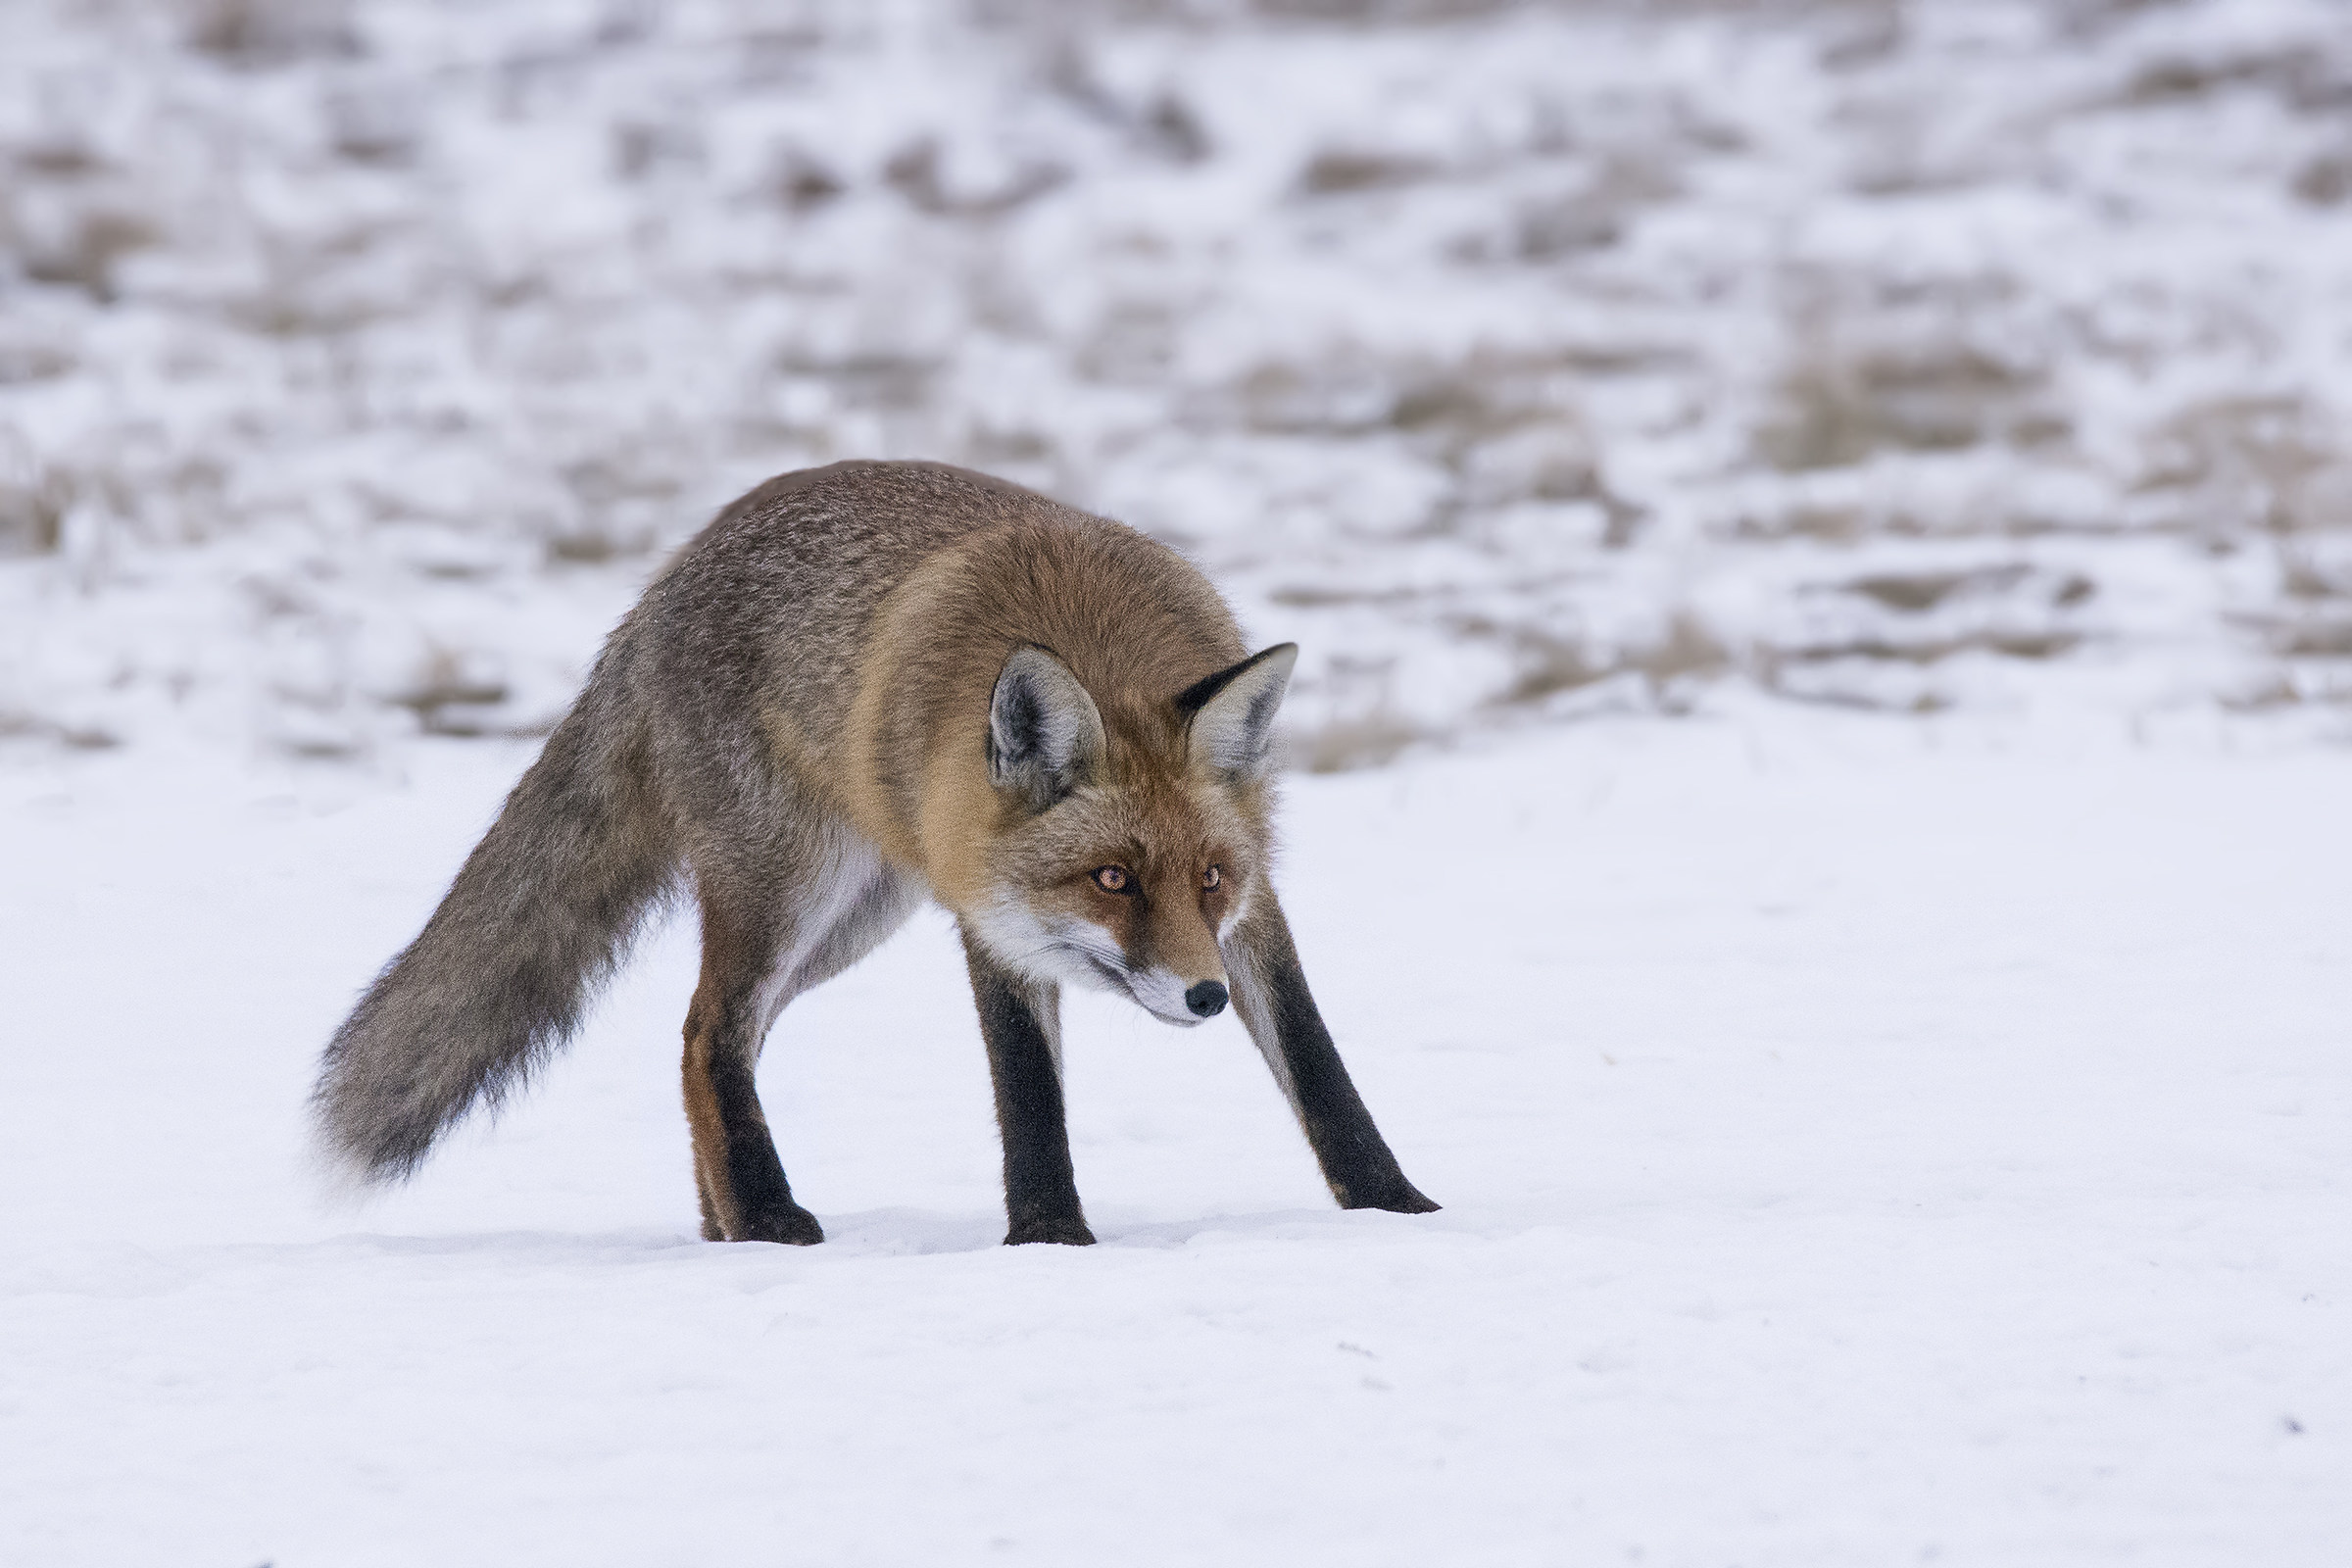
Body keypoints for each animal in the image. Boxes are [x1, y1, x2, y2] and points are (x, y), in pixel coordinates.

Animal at [312, 459, 1437, 1245]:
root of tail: (662, 583)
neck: (1090, 635)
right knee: (707, 1032)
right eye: (1111, 879)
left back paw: (723, 1222)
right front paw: (1050, 1239)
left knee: (715, 1044)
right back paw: (765, 1221)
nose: (1204, 997)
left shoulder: (1252, 911)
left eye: (1209, 878)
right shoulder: (988, 909)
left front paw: (1397, 1210)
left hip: (853, 919)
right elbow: (1027, 1092)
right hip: (789, 887)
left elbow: (1319, 1065)